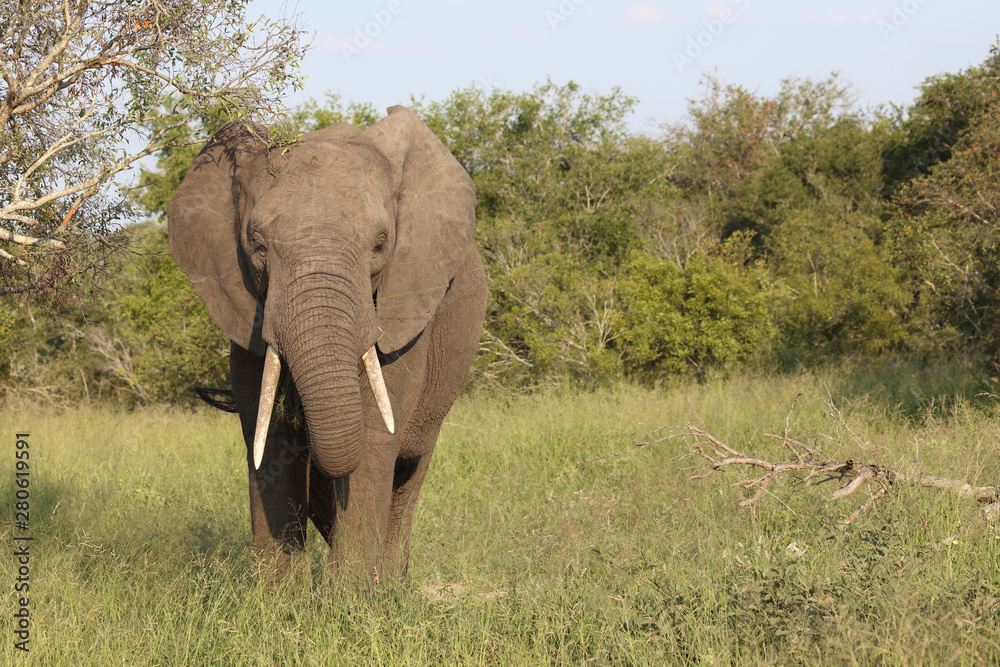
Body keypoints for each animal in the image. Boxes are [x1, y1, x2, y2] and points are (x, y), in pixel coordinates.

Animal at [167, 106, 487, 583]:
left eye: (380, 244)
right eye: (257, 245)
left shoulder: (409, 307)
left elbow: (376, 432)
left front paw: (353, 599)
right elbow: (268, 437)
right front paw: (281, 599)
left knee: (409, 474)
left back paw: (394, 584)